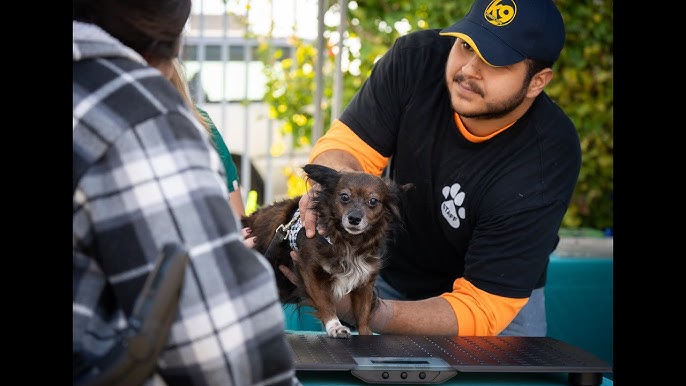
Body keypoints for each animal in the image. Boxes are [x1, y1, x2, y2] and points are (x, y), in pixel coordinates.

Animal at [243, 164, 412, 338]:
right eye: (344, 197)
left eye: (373, 201)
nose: (354, 218)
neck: (349, 242)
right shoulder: (309, 270)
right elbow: (325, 302)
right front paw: (335, 327)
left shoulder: (365, 280)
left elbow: (363, 312)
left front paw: (365, 332)